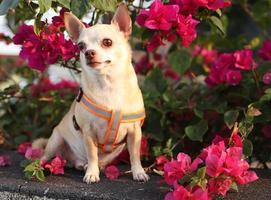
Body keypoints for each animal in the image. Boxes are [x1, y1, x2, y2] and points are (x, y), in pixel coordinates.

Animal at [33, 3, 151, 184]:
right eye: (81, 46)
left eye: (107, 42)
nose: (88, 52)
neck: (109, 85)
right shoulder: (88, 132)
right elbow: (93, 154)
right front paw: (92, 174)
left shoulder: (134, 132)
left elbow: (134, 155)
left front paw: (138, 172)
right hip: (56, 139)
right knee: (45, 155)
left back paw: (85, 165)